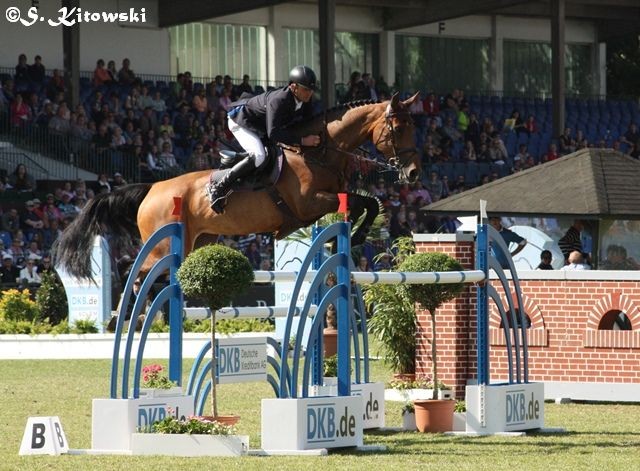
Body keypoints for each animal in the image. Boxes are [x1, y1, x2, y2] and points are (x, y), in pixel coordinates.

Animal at [55, 94, 422, 282]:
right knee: (138, 275)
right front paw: (354, 238)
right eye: (398, 127)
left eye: (413, 125)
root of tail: (152, 188)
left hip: (199, 240)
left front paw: (352, 238)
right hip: (163, 244)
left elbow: (367, 204)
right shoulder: (311, 203)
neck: (319, 151)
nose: (414, 172)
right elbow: (362, 203)